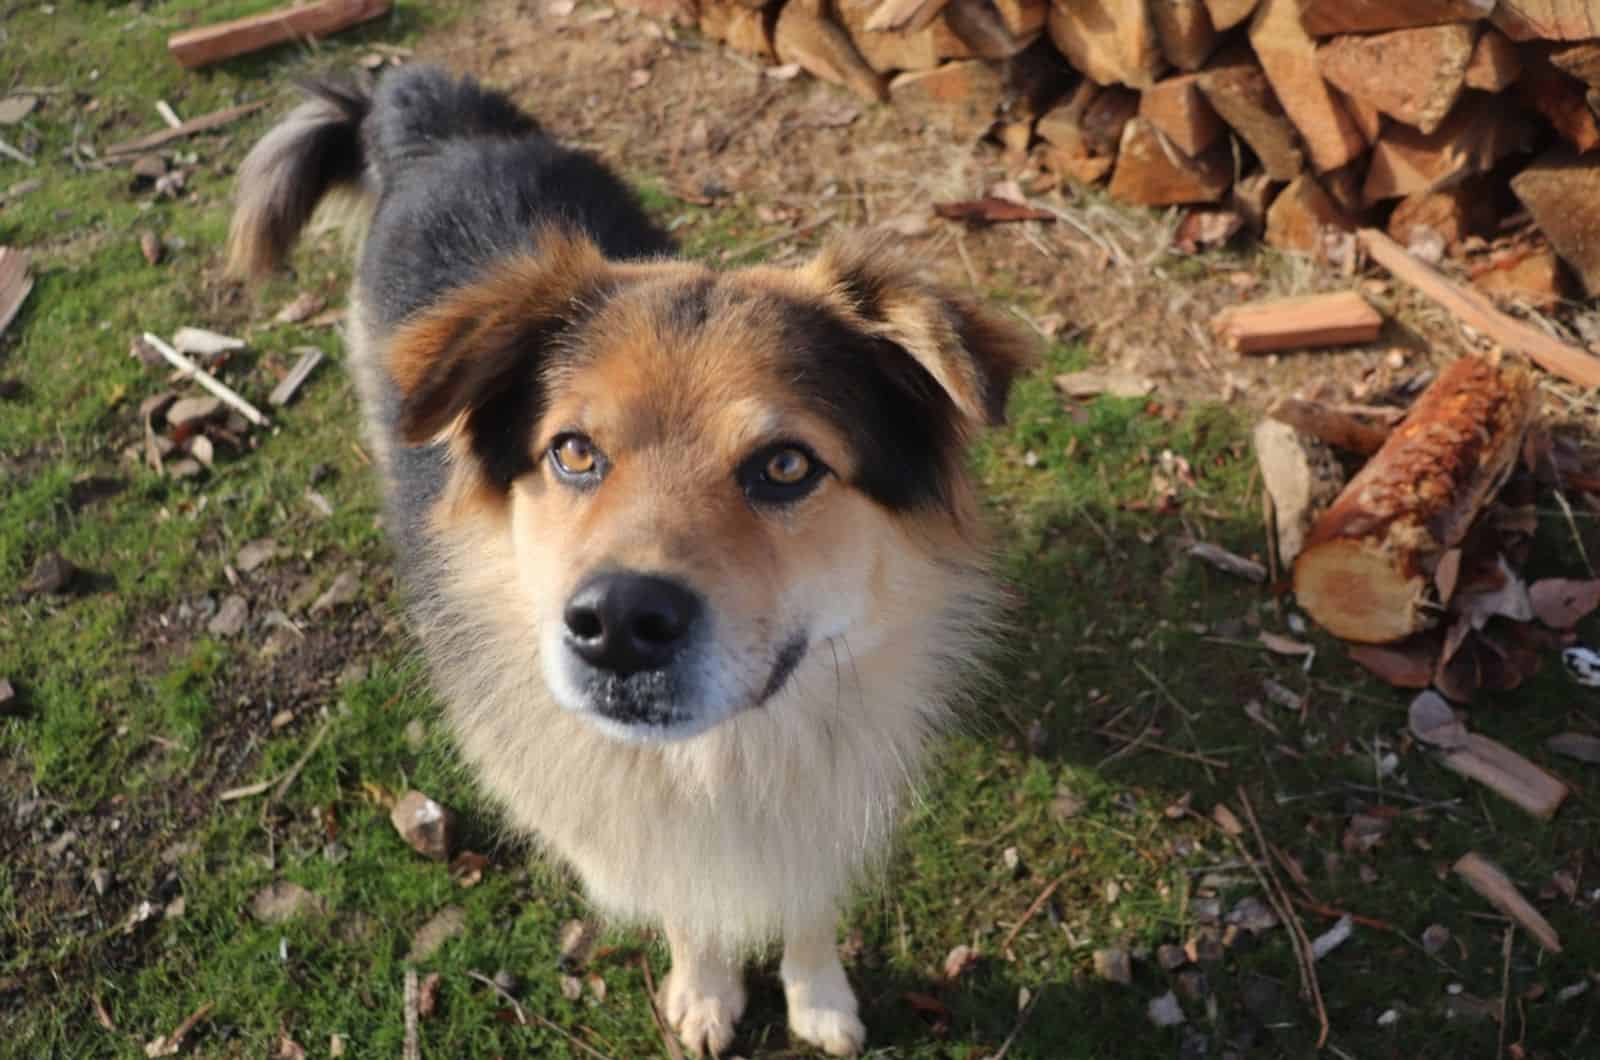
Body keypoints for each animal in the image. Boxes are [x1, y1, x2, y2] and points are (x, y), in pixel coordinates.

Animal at [232, 66, 1036, 1056]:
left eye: (786, 465)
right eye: (574, 452)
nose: (615, 625)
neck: (721, 757)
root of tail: (445, 129)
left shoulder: (828, 793)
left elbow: (808, 904)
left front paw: (819, 999)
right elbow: (686, 902)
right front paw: (705, 989)